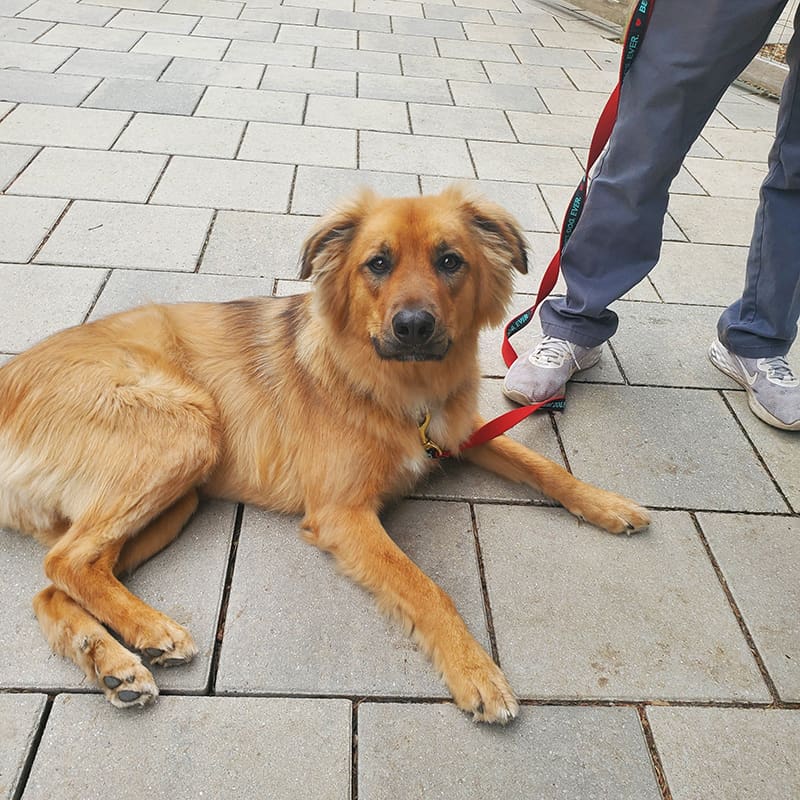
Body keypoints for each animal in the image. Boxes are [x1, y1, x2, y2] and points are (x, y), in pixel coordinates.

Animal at [0, 189, 648, 724]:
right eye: (377, 263)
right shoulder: (342, 514)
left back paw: (111, 662)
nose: (414, 327)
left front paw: (606, 503)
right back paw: (150, 629)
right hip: (189, 430)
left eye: (450, 261)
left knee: (59, 581)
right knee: (65, 561)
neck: (399, 389)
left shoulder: (458, 434)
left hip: (177, 497)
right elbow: (425, 588)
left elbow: (545, 467)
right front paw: (476, 672)